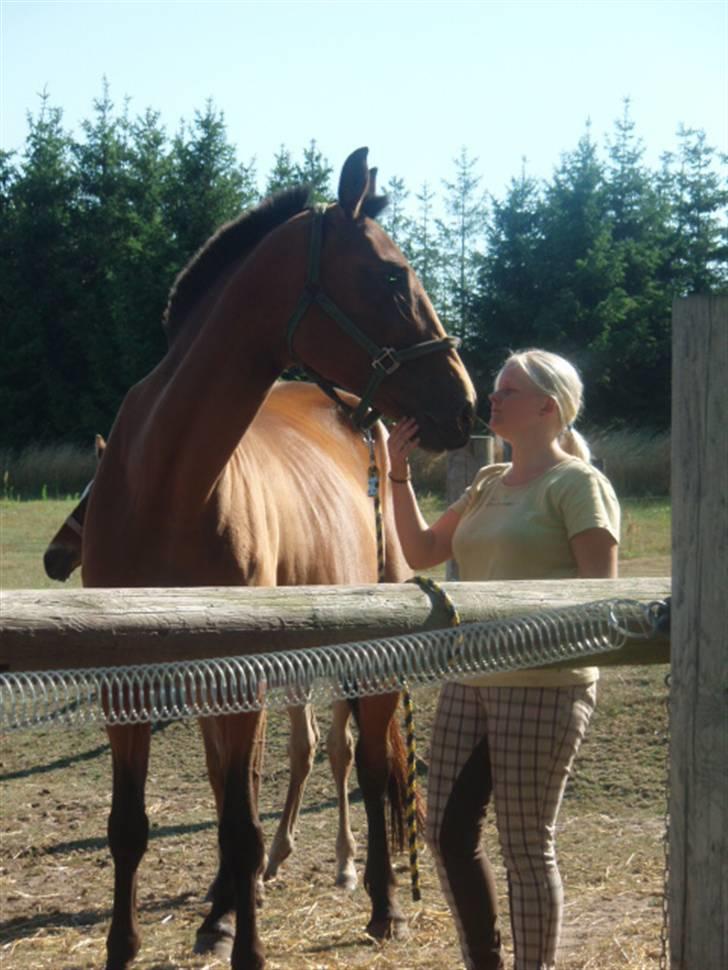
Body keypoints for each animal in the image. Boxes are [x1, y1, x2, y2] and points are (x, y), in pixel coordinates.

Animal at [82, 146, 478, 968]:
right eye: (390, 276)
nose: (464, 401)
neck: (164, 482)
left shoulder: (244, 682)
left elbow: (243, 823)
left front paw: (249, 945)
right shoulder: (125, 683)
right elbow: (130, 826)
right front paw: (130, 944)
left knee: (368, 766)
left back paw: (382, 903)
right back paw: (223, 909)